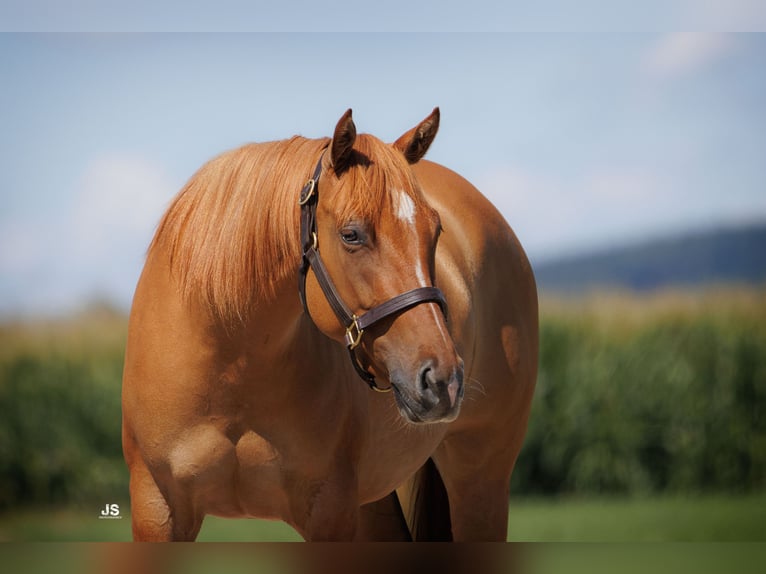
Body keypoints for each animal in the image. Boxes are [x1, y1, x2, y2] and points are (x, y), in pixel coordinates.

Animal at [121, 108, 538, 541]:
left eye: (435, 230)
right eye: (351, 234)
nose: (442, 381)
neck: (230, 367)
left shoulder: (330, 512)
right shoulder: (157, 506)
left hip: (481, 483)